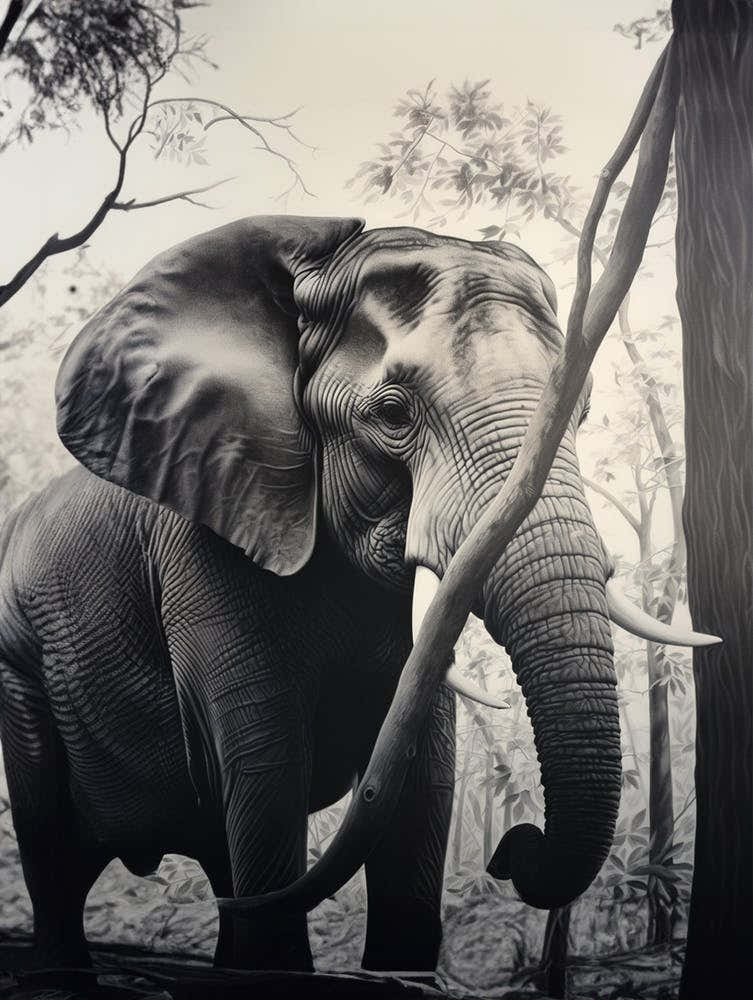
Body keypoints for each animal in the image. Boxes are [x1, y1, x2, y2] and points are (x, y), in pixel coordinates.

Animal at [0, 216, 716, 973]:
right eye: (393, 415)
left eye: (579, 412)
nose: (511, 850)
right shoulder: (204, 539)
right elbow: (265, 766)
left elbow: (421, 778)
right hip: (19, 667)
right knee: (52, 841)